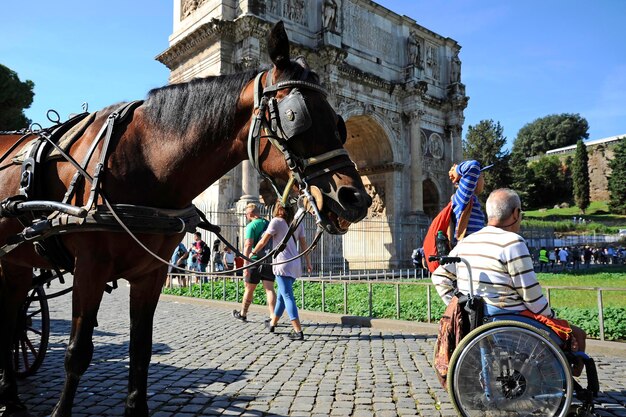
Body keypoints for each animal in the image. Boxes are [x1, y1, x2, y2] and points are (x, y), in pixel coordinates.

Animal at [0, 22, 368, 416]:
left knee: (12, 319)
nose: (355, 199)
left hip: (18, 263)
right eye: (296, 116)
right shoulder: (90, 270)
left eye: (339, 123)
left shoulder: (150, 274)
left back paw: (11, 396)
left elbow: (141, 350)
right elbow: (78, 351)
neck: (144, 162)